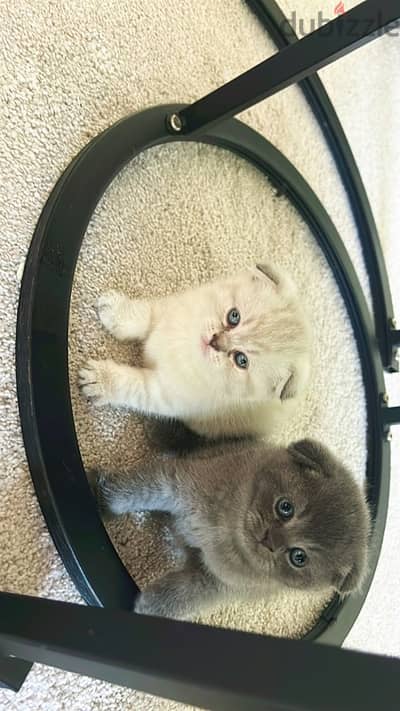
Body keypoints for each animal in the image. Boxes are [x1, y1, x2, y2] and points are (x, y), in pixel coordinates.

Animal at [79, 264, 310, 436]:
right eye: (234, 316)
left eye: (241, 360)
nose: (215, 341)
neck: (187, 346)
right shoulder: (166, 309)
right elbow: (143, 315)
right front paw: (115, 312)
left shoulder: (163, 394)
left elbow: (131, 386)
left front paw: (99, 380)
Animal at [89, 436, 370, 620]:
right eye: (285, 507)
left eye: (298, 557)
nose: (269, 540)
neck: (225, 531)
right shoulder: (177, 483)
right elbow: (140, 489)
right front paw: (105, 497)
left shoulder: (215, 582)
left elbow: (181, 596)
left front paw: (148, 609)